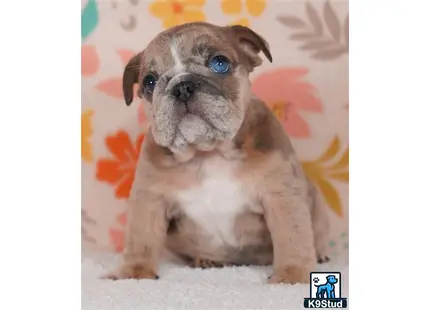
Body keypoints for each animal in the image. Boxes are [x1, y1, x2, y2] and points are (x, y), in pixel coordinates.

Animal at [106, 21, 330, 284]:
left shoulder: (281, 196)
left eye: (219, 63)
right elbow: (140, 238)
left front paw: (290, 277)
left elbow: (292, 237)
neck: (208, 152)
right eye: (149, 82)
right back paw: (207, 260)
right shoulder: (149, 199)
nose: (182, 86)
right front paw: (134, 274)